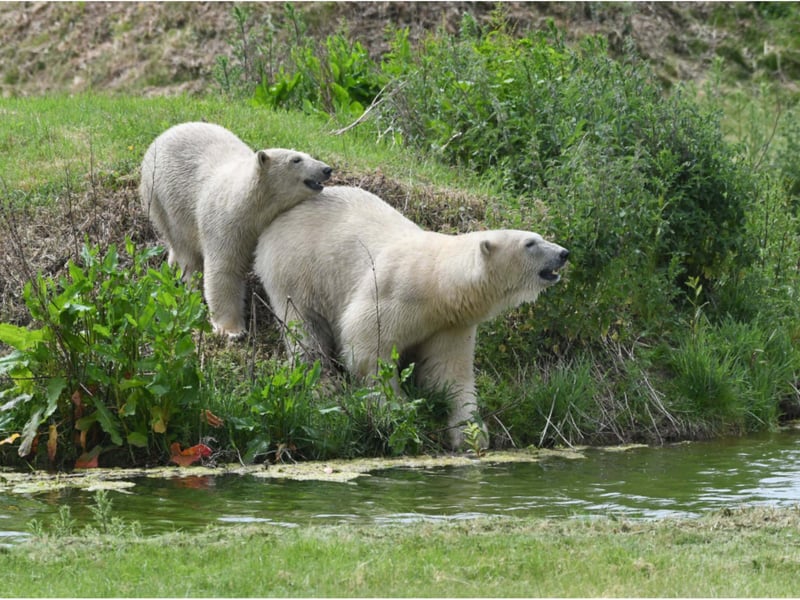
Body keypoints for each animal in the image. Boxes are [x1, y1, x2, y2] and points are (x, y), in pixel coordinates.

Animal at [139, 121, 333, 337]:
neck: (248, 206)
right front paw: (232, 330)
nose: (327, 169)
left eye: (307, 154)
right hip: (160, 197)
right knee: (184, 247)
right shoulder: (224, 225)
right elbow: (224, 271)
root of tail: (165, 134)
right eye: (296, 159)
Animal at [253, 186, 569, 449]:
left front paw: (471, 432)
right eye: (531, 243)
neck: (438, 285)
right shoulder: (394, 293)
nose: (564, 253)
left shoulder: (449, 323)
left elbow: (447, 371)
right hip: (296, 269)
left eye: (540, 238)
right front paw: (397, 407)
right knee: (305, 328)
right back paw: (323, 383)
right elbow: (366, 345)